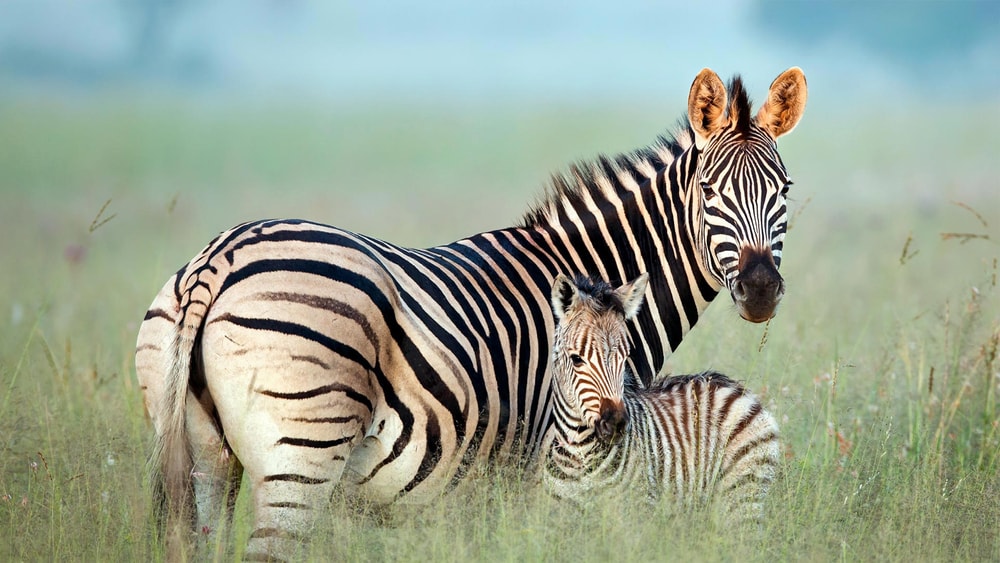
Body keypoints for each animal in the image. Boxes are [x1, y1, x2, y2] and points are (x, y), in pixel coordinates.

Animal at [135, 67, 804, 560]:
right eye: (711, 193)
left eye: (784, 191)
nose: (761, 289)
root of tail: (218, 259)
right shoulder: (545, 474)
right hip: (303, 452)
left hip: (204, 453)